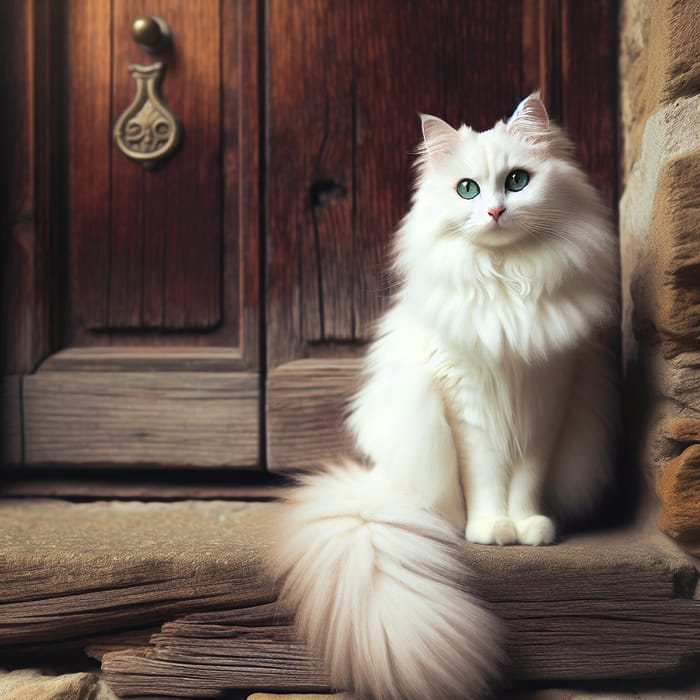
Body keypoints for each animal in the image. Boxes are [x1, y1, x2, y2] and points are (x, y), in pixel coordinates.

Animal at [270, 94, 616, 700]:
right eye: (468, 190)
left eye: (518, 181)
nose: (495, 212)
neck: (506, 285)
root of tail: (377, 484)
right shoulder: (466, 403)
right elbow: (487, 478)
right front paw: (491, 530)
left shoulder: (547, 397)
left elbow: (526, 479)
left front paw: (529, 528)